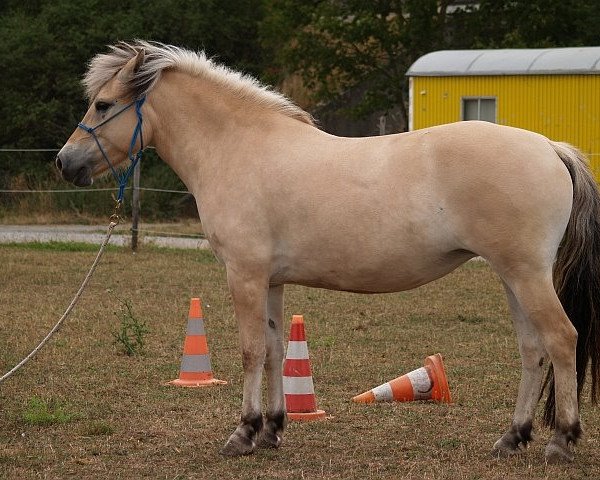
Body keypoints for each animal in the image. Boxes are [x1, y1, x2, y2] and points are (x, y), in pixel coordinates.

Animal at [56, 42, 600, 464]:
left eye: (102, 105)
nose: (64, 163)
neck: (239, 148)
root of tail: (551, 148)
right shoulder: (271, 281)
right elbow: (274, 348)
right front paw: (272, 429)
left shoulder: (244, 275)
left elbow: (251, 350)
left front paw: (243, 432)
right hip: (511, 277)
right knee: (532, 350)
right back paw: (512, 438)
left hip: (527, 275)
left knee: (562, 340)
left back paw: (560, 441)